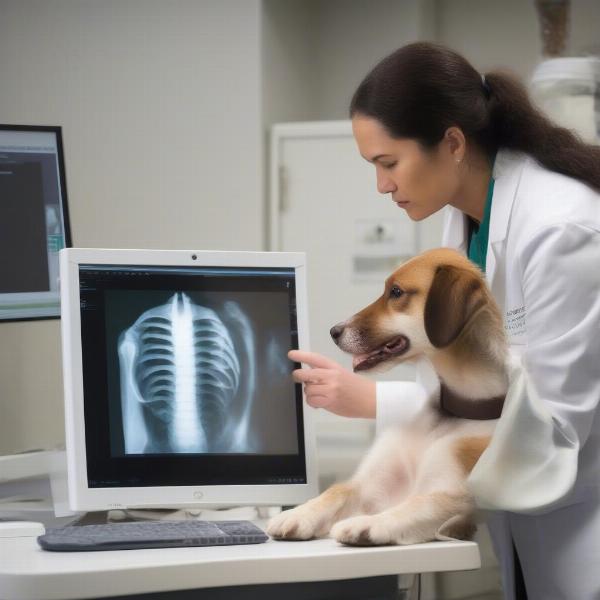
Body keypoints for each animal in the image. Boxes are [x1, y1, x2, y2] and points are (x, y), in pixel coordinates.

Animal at [268, 246, 506, 548]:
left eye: (396, 292)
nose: (334, 331)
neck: (447, 417)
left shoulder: (458, 498)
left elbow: (418, 504)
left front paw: (366, 524)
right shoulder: (370, 483)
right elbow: (338, 490)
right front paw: (298, 514)